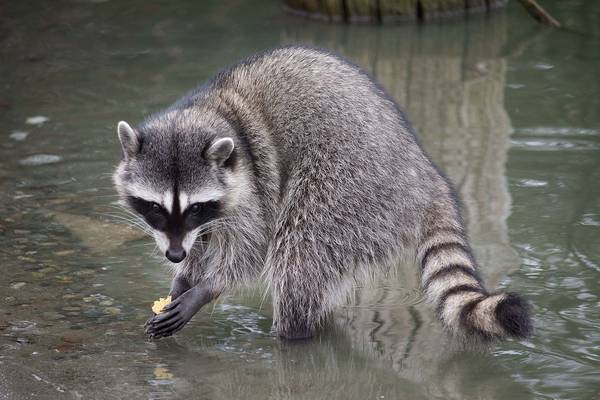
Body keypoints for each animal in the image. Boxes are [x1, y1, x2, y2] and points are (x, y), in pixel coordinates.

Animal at [112, 46, 528, 340]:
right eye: (155, 208)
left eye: (195, 208)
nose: (173, 255)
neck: (210, 112)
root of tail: (425, 174)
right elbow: (201, 245)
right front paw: (183, 278)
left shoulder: (253, 186)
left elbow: (251, 250)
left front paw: (205, 289)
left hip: (352, 189)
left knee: (299, 252)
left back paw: (290, 335)